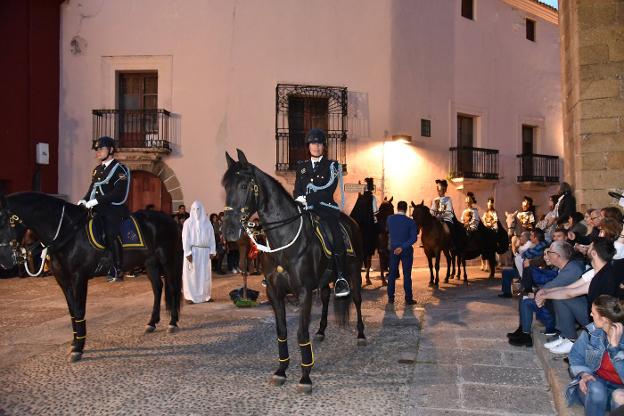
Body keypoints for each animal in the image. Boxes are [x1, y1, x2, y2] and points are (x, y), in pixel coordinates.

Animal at [0, 192, 183, 360]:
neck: (67, 233)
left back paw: (173, 322)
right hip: (150, 262)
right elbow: (72, 311)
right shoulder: (63, 281)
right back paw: (152, 323)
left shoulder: (79, 277)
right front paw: (75, 342)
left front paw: (79, 347)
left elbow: (80, 310)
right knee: (158, 288)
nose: (5, 261)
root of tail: (169, 218)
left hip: (167, 260)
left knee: (173, 287)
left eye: (2, 220)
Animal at [222, 150, 366, 394]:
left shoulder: (304, 292)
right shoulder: (274, 292)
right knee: (325, 297)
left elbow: (300, 332)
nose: (227, 231)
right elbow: (281, 331)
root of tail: (349, 220)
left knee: (356, 299)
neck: (285, 240)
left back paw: (361, 335)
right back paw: (321, 331)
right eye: (224, 186)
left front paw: (305, 376)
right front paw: (281, 370)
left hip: (354, 272)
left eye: (243, 185)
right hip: (325, 279)